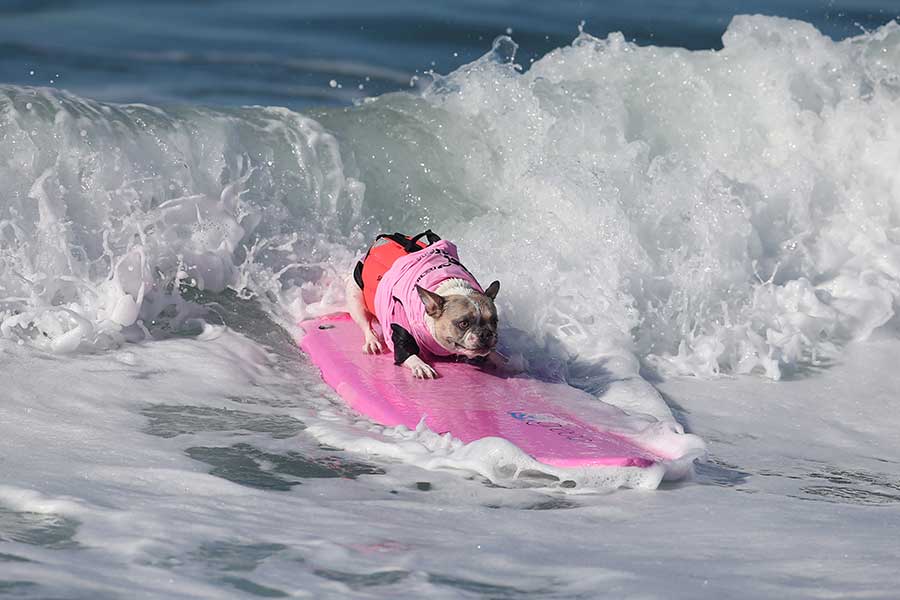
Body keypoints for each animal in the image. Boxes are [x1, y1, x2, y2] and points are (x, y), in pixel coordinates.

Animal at [344, 231, 502, 378]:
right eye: (463, 323)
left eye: (494, 321)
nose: (486, 333)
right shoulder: (400, 329)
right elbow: (406, 353)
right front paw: (420, 365)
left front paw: (498, 356)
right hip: (355, 298)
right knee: (366, 324)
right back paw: (372, 341)